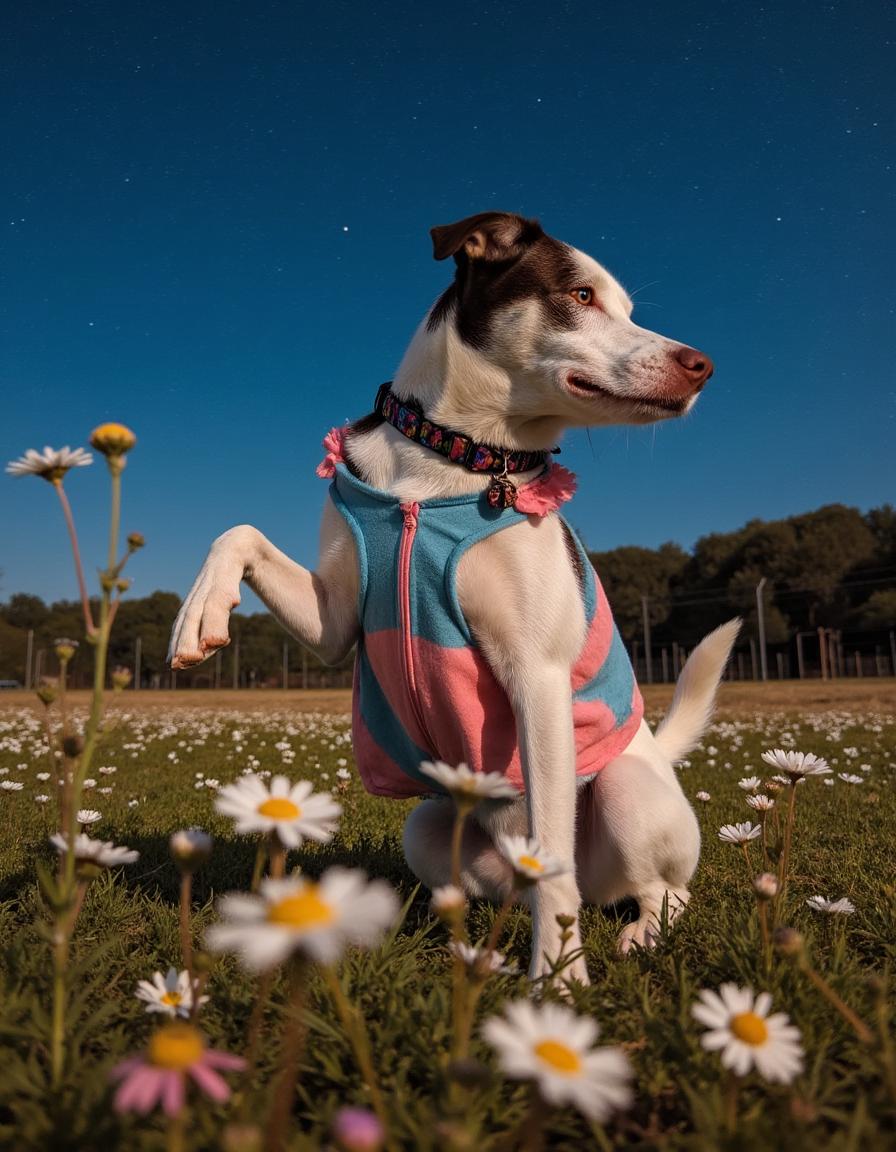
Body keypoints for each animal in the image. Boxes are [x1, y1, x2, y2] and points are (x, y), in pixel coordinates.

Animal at [165, 214, 732, 981]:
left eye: (627, 308)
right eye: (581, 295)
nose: (702, 364)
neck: (451, 459)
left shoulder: (538, 677)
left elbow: (554, 867)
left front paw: (559, 982)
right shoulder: (336, 623)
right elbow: (239, 531)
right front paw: (199, 615)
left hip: (624, 794)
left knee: (653, 890)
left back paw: (634, 932)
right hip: (427, 825)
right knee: (511, 887)